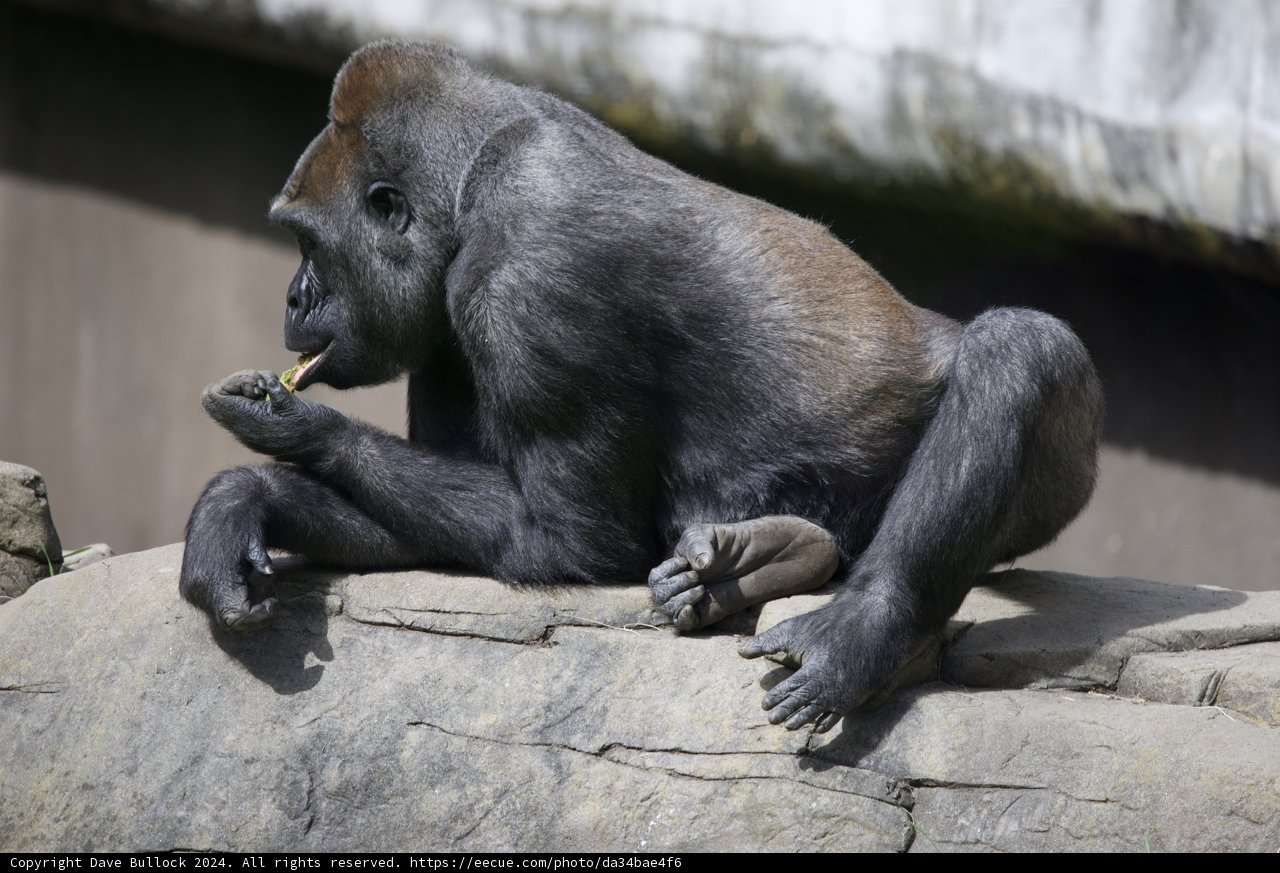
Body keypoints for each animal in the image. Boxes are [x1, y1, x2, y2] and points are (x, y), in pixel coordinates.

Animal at [181, 40, 1102, 733]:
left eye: (309, 243)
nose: (292, 297)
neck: (470, 181)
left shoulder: (528, 280)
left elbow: (568, 539)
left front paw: (290, 426)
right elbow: (435, 527)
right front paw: (245, 499)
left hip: (1071, 474)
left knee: (1018, 350)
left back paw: (869, 627)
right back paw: (773, 557)